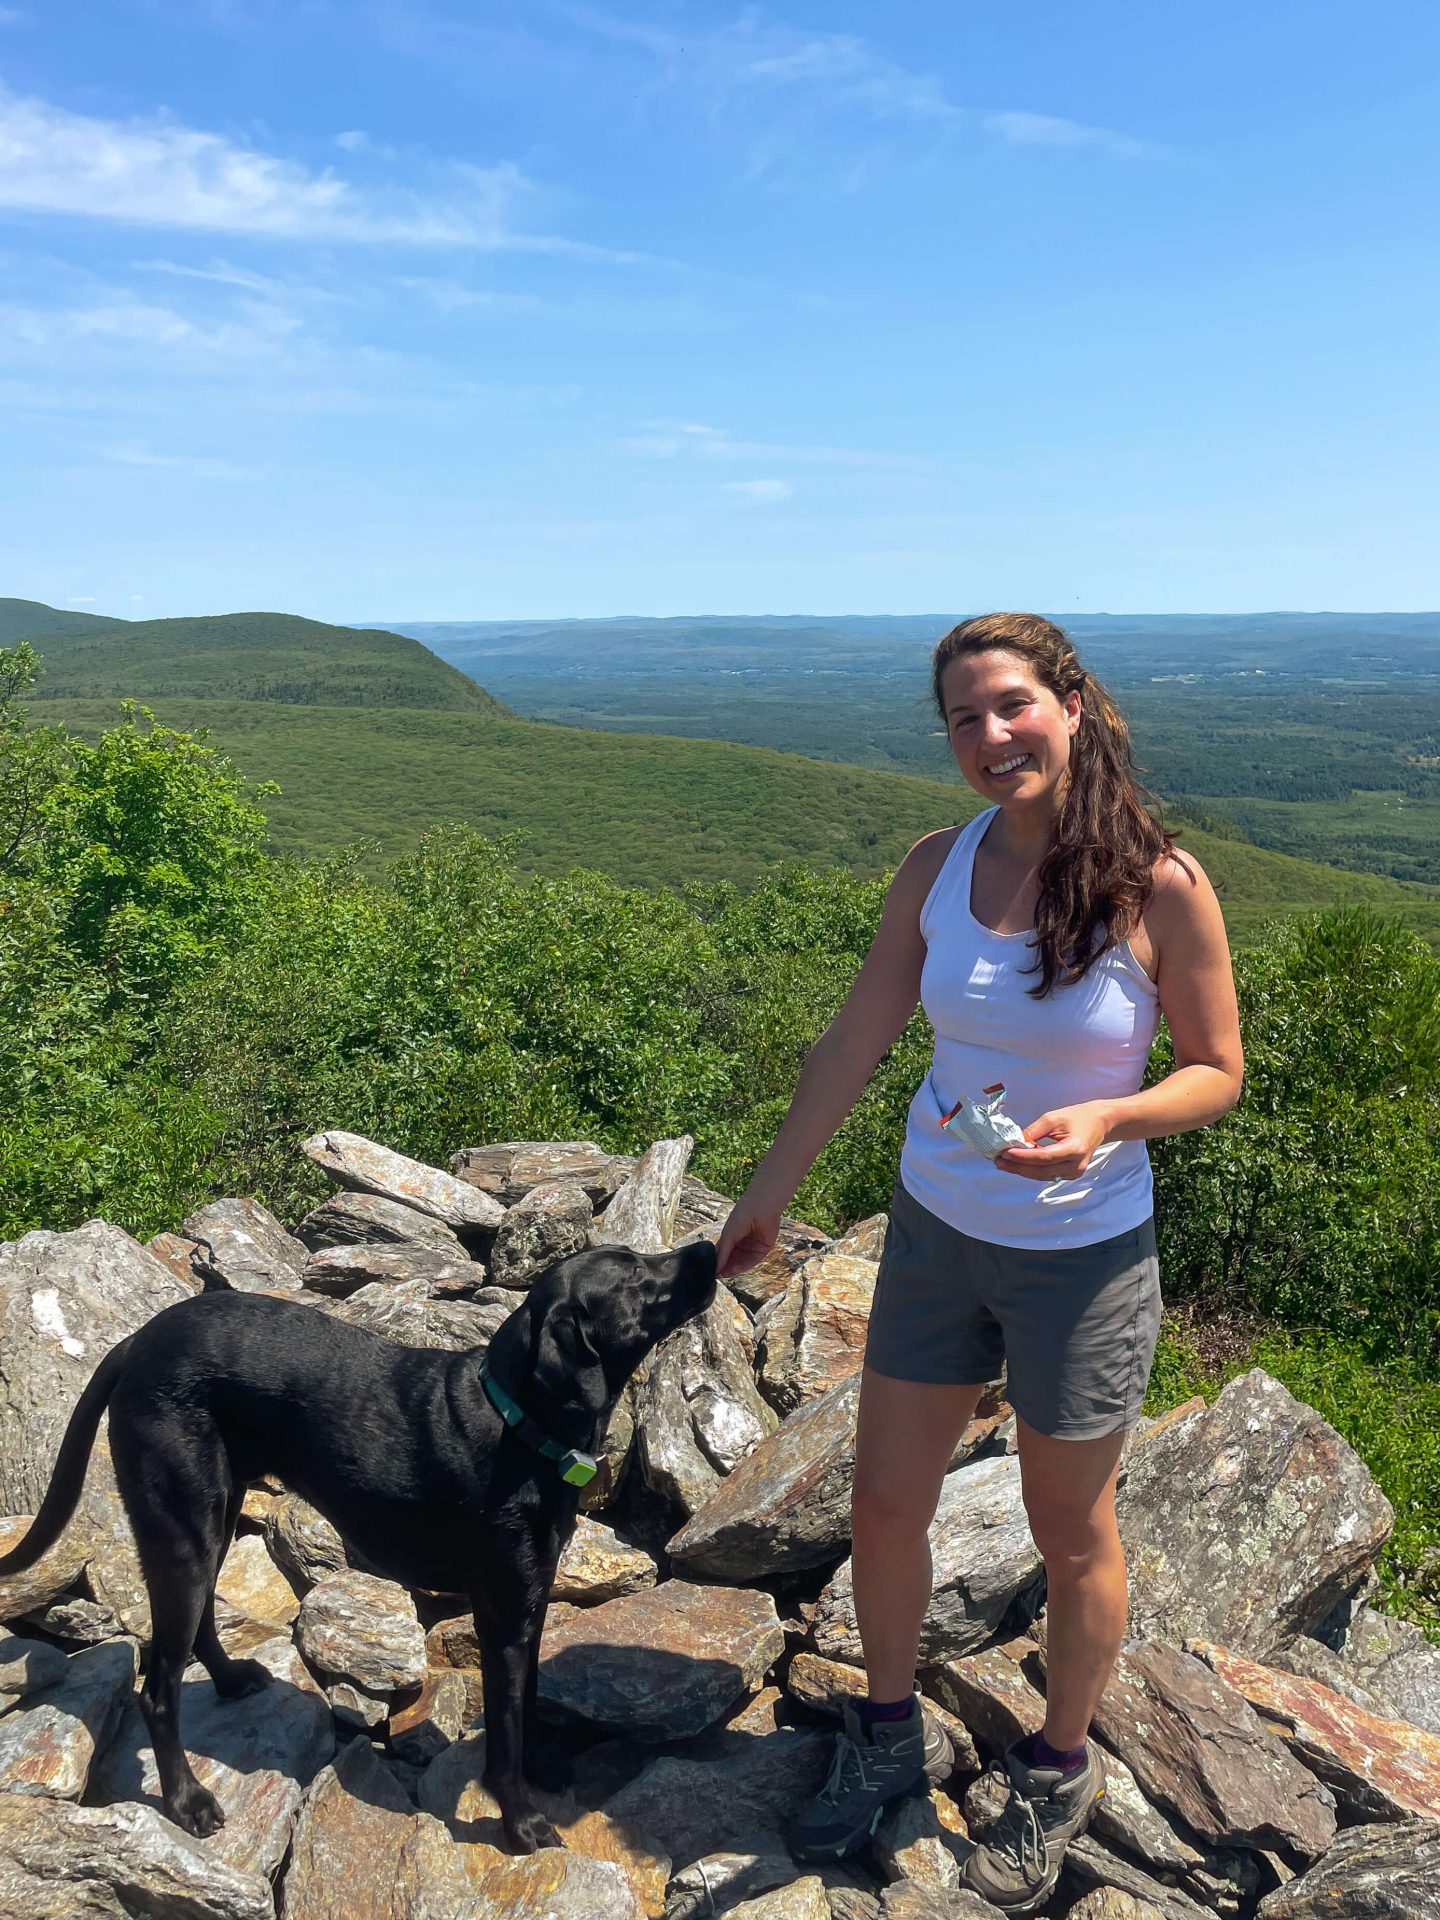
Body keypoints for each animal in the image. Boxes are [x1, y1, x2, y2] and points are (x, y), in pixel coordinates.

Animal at [0, 1236, 718, 1850]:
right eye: (631, 1273)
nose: (709, 1248)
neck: (518, 1422)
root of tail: (135, 1343)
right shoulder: (502, 1612)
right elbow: (505, 1730)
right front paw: (521, 1825)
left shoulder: (532, 1600)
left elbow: (531, 1700)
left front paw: (542, 1768)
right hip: (183, 1526)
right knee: (158, 1688)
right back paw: (187, 1802)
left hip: (214, 1515)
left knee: (198, 1626)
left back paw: (230, 1680)